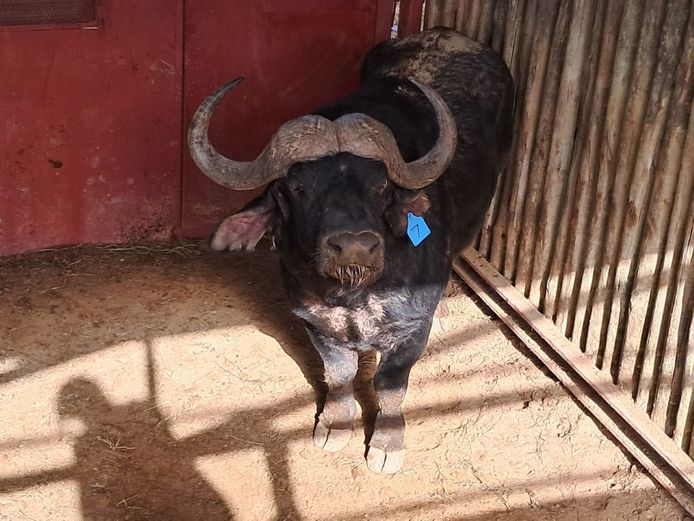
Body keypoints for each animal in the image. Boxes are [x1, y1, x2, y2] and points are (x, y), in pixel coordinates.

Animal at [188, 27, 514, 474]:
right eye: (297, 186)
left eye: (381, 185)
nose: (354, 246)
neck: (355, 295)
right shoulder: (316, 323)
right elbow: (338, 375)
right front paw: (335, 423)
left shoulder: (412, 330)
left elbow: (390, 386)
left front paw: (387, 443)